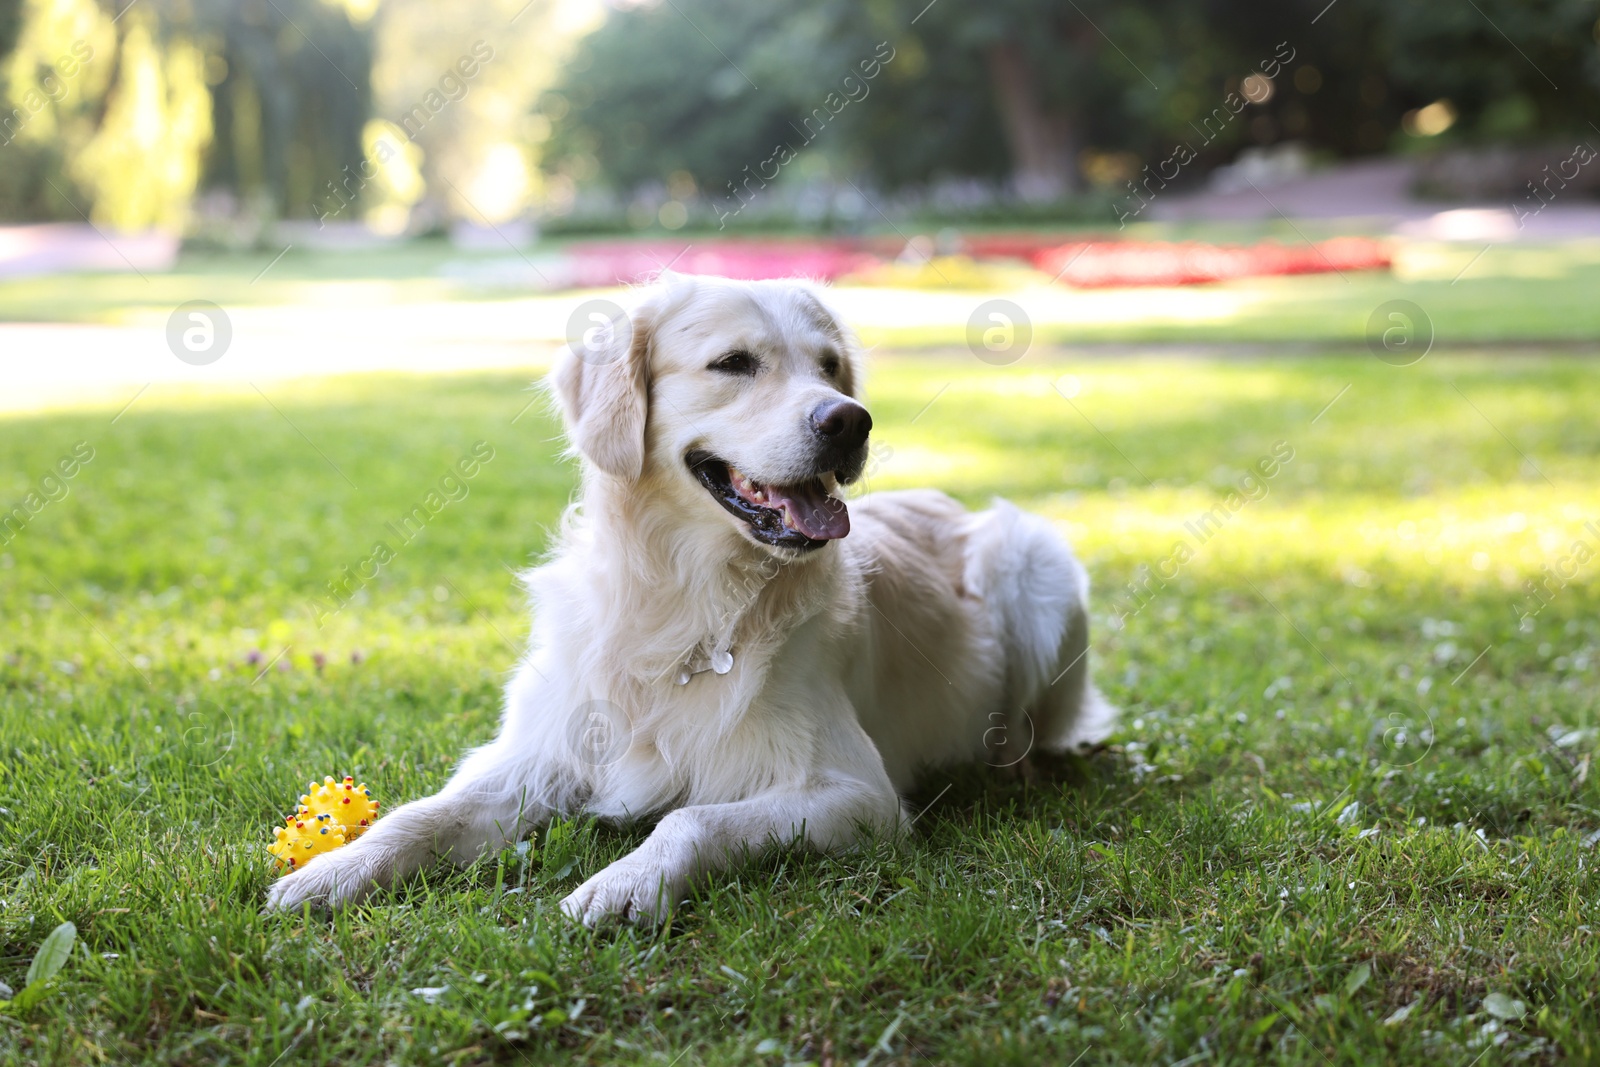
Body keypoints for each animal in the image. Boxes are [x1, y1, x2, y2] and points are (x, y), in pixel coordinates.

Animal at [265, 275, 1113, 927]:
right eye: (733, 363)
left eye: (831, 366)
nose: (850, 420)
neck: (681, 599)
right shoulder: (532, 755)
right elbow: (421, 814)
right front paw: (332, 870)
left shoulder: (854, 791)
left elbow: (690, 816)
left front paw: (624, 882)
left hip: (1032, 556)